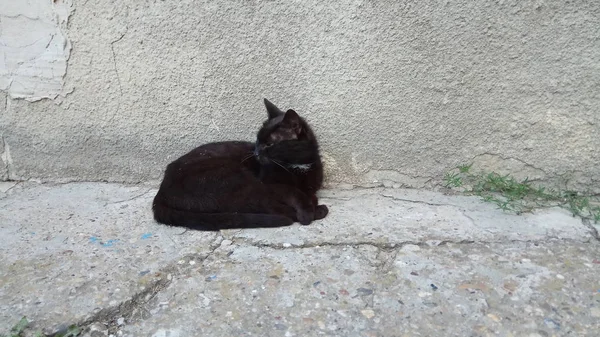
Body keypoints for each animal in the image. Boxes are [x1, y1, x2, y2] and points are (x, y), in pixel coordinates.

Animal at [150, 98, 328, 228]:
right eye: (257, 140)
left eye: (269, 144)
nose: (255, 152)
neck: (298, 165)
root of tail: (161, 193)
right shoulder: (270, 183)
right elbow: (295, 192)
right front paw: (307, 211)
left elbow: (309, 193)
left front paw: (311, 202)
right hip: (236, 178)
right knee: (259, 205)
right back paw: (317, 211)